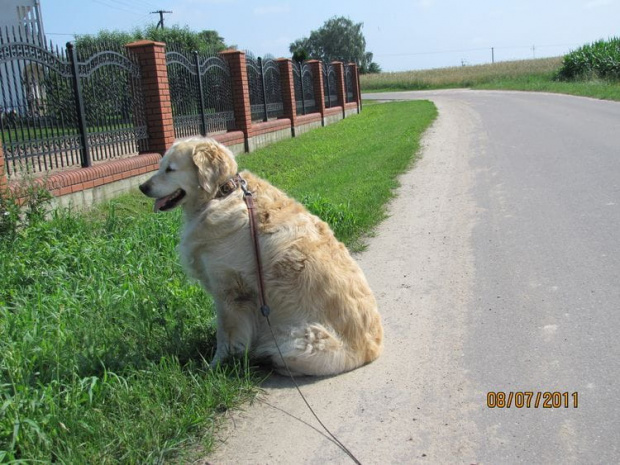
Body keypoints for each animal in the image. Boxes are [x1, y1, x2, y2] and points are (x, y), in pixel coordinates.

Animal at [140, 137, 382, 374]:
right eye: (160, 166)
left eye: (170, 169)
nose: (143, 187)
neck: (221, 193)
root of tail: (371, 351)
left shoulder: (229, 291)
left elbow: (225, 334)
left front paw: (214, 366)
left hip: (297, 342)